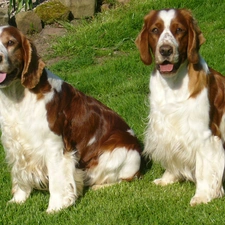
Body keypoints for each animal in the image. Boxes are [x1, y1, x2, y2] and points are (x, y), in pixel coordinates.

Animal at [0, 25, 142, 212]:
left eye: (10, 42)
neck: (17, 97)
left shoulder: (54, 147)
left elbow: (56, 181)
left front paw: (55, 208)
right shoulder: (14, 144)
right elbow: (20, 173)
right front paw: (18, 200)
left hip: (118, 154)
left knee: (125, 179)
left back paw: (98, 187)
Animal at [135, 8, 225, 206]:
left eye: (179, 30)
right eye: (155, 30)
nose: (165, 50)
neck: (173, 84)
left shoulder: (205, 136)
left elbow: (204, 169)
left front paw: (202, 196)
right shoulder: (164, 129)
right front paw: (168, 178)